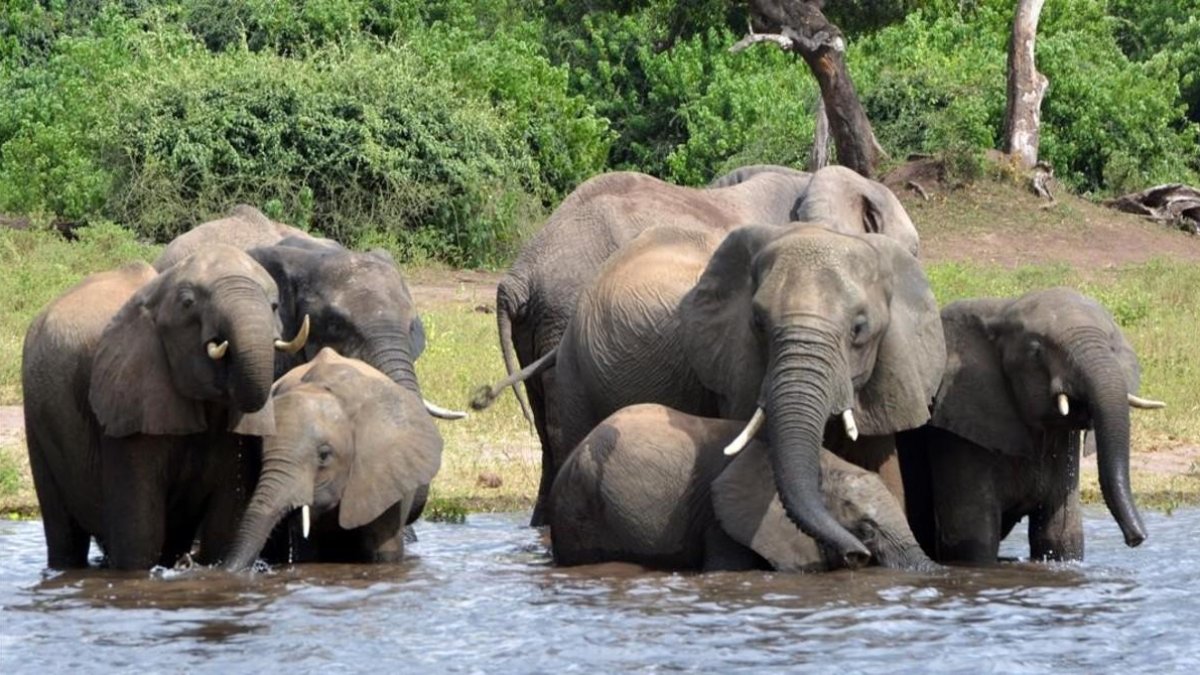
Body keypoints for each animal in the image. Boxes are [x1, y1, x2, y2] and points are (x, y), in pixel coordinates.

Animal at [22, 246, 310, 569]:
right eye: (187, 303)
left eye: (274, 306)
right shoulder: (128, 401)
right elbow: (140, 537)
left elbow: (224, 526)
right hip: (37, 420)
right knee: (65, 534)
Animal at [897, 287, 1166, 564]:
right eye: (1036, 352)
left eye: (1113, 347)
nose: (1136, 539)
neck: (1001, 310)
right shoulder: (956, 429)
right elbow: (972, 542)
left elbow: (1060, 537)